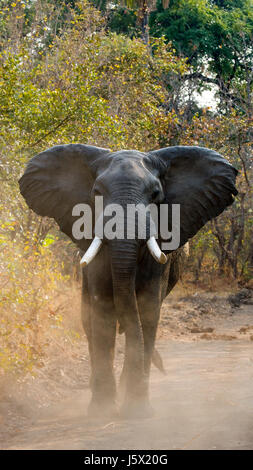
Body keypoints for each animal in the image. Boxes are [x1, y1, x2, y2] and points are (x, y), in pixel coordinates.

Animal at [19, 144, 237, 418]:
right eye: (97, 192)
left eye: (155, 194)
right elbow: (102, 309)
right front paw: (101, 412)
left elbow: (147, 309)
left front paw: (137, 411)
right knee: (88, 320)